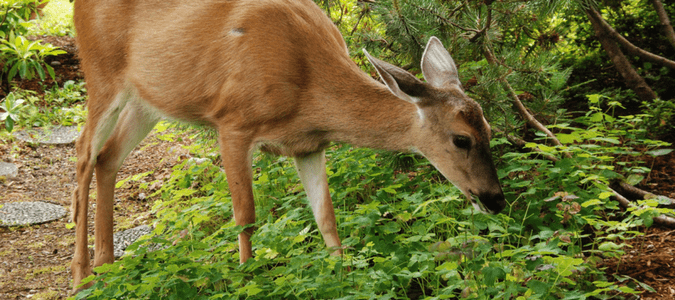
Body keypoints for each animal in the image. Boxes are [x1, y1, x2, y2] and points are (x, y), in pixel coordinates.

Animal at [70, 0, 508, 292]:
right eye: (461, 139)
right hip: (101, 72)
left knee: (108, 156)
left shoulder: (308, 145)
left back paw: (107, 265)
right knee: (83, 151)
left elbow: (326, 217)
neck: (308, 87)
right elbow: (246, 216)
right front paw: (246, 277)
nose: (496, 200)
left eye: (490, 128)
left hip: (147, 100)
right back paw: (81, 276)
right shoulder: (233, 122)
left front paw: (346, 275)